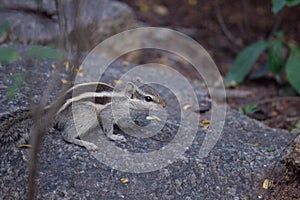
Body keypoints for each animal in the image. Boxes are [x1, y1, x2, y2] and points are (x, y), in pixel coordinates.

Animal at [0, 79, 166, 151]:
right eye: (148, 98)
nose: (165, 105)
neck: (124, 100)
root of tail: (54, 109)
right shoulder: (108, 113)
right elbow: (108, 127)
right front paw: (114, 137)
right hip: (84, 116)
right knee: (66, 135)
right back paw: (88, 144)